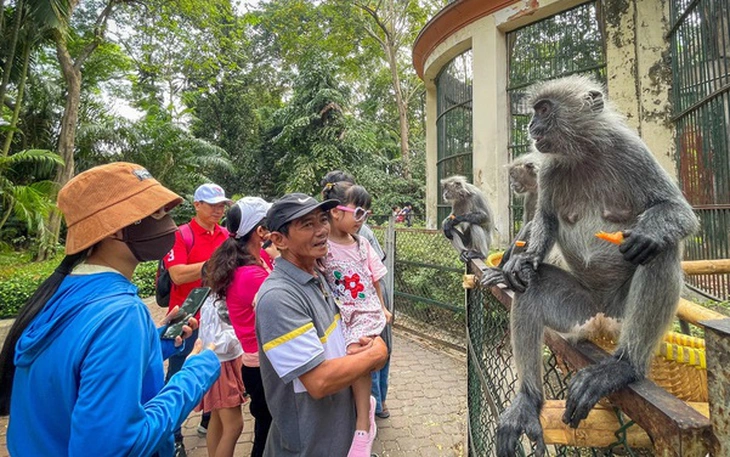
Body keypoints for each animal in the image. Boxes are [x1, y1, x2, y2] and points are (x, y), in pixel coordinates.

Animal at [494, 75, 692, 456]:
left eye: (544, 110)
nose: (531, 125)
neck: (584, 155)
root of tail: (601, 316)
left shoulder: (631, 150)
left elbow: (681, 214)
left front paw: (648, 232)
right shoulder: (550, 169)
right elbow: (546, 221)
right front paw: (522, 260)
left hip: (622, 313)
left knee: (661, 251)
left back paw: (624, 367)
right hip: (577, 311)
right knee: (533, 285)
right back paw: (528, 400)